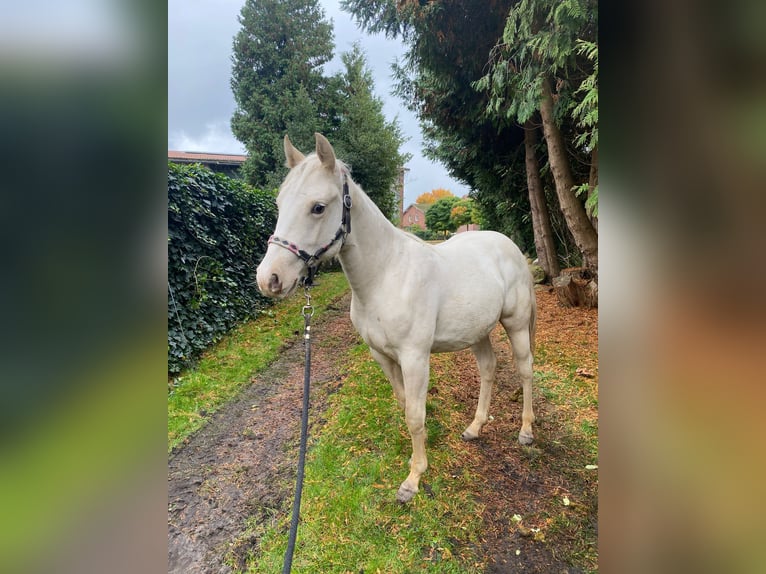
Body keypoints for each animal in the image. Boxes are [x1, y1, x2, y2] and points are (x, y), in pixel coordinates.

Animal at [255, 134, 536, 504]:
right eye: (279, 203)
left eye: (318, 207)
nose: (269, 279)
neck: (386, 274)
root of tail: (511, 248)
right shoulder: (382, 356)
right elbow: (404, 405)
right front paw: (418, 452)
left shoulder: (415, 358)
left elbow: (415, 414)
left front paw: (413, 479)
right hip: (477, 331)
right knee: (488, 369)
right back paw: (475, 428)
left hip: (516, 324)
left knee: (525, 370)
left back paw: (526, 431)